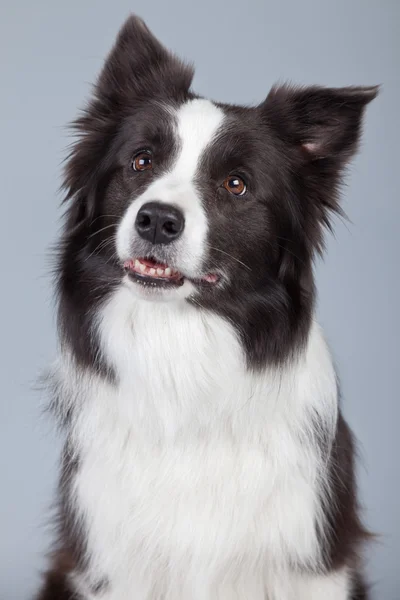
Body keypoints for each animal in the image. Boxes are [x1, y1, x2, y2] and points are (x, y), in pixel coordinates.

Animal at [35, 14, 378, 600]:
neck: (181, 352)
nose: (156, 220)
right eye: (142, 160)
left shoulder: (310, 564)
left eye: (235, 184)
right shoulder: (113, 563)